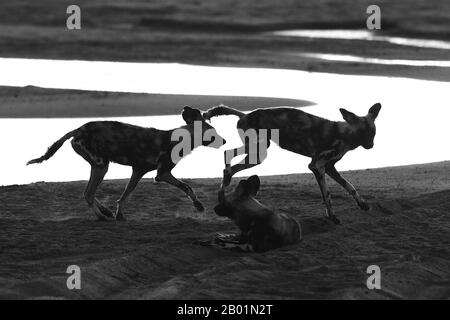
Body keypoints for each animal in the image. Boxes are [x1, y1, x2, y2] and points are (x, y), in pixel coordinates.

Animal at [27, 106, 225, 221]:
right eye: (213, 133)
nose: (224, 141)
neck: (180, 139)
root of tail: (78, 129)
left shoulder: (137, 171)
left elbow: (124, 196)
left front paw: (118, 213)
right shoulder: (162, 174)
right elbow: (187, 187)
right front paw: (198, 206)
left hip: (99, 166)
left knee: (87, 192)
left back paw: (105, 212)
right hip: (102, 166)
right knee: (89, 194)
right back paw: (101, 217)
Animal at [202, 104, 382, 224]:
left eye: (373, 133)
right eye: (362, 132)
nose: (370, 145)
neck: (344, 134)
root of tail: (243, 115)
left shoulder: (330, 168)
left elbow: (350, 186)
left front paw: (362, 204)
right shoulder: (317, 166)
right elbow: (327, 194)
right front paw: (332, 216)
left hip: (257, 152)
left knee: (228, 160)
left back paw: (223, 193)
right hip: (259, 151)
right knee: (228, 157)